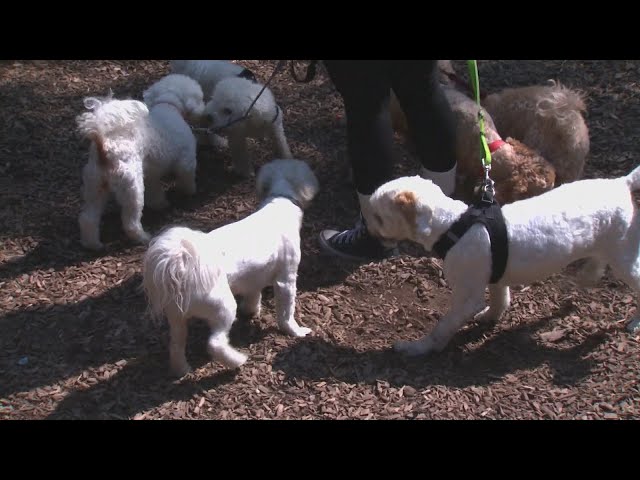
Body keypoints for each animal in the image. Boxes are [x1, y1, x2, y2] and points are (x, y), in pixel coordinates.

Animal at [75, 74, 206, 251]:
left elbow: (155, 190)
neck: (168, 105)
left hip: (95, 187)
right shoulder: (186, 160)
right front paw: (189, 191)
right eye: (200, 98)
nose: (204, 110)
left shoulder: (151, 173)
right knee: (130, 222)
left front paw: (159, 204)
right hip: (132, 188)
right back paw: (143, 237)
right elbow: (187, 177)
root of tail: (104, 148)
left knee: (88, 219)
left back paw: (92, 244)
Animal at [142, 158, 318, 376]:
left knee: (176, 345)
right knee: (215, 344)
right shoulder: (286, 279)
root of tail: (181, 267)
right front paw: (295, 331)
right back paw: (236, 361)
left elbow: (253, 295)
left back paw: (181, 370)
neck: (280, 199)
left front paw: (251, 311)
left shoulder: (254, 277)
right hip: (222, 307)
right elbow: (286, 312)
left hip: (177, 317)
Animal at [364, 166, 640, 356]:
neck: (454, 226)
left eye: (378, 217)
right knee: (598, 259)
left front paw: (419, 348)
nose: (366, 229)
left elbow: (444, 325)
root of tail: (621, 183)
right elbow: (500, 300)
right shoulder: (495, 277)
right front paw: (490, 317)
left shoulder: (468, 296)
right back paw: (588, 276)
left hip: (624, 257)